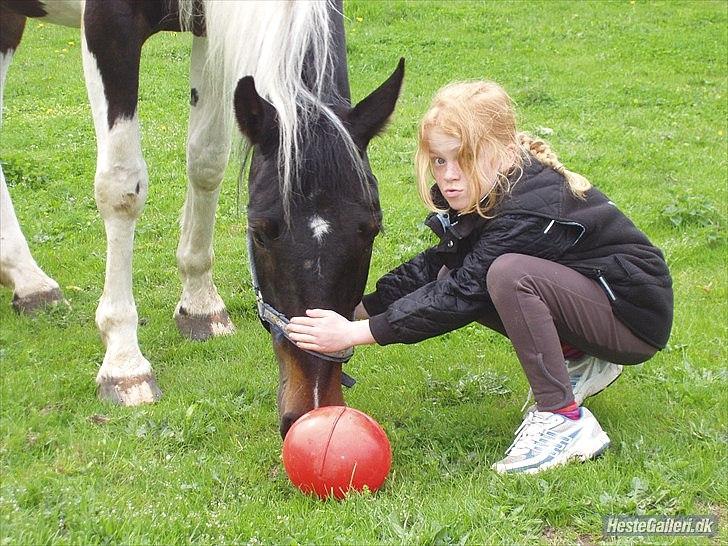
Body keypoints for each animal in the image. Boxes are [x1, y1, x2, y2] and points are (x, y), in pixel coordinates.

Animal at [0, 0, 404, 434]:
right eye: (259, 233)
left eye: (372, 229)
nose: (312, 410)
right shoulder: (108, 26)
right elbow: (121, 187)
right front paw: (124, 362)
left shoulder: (209, 29)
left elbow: (207, 159)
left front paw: (200, 305)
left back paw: (29, 283)